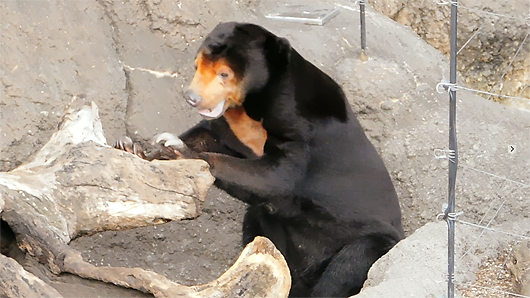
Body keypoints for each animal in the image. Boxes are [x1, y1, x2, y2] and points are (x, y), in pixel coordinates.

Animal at [115, 22, 402, 296]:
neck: (250, 106)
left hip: (369, 240)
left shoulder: (298, 124)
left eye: (224, 74)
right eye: (197, 67)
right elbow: (212, 135)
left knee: (349, 265)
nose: (192, 98)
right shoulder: (233, 128)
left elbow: (277, 177)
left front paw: (178, 150)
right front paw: (135, 148)